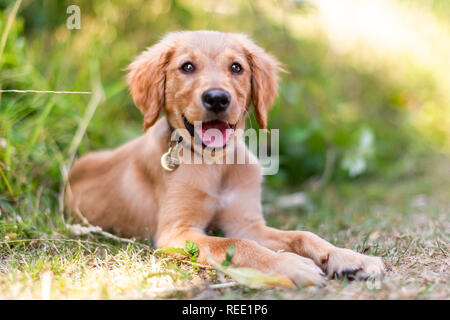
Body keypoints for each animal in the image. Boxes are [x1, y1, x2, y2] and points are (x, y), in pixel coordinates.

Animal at [65, 30, 384, 286]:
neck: (215, 164)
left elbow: (301, 235)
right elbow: (236, 244)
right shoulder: (176, 233)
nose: (217, 98)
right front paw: (290, 264)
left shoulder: (247, 223)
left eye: (236, 67)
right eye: (187, 66)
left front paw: (350, 258)